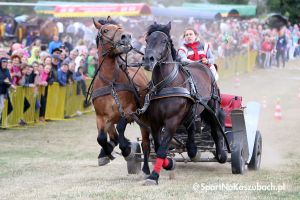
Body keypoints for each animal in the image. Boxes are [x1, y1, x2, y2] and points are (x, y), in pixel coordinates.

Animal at [91, 17, 151, 176]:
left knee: (146, 143)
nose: (126, 36)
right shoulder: (101, 116)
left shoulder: (128, 110)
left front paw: (127, 149)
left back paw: (146, 168)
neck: (110, 82)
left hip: (142, 118)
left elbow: (122, 128)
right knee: (112, 135)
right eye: (106, 30)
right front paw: (106, 153)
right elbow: (101, 138)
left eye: (119, 26)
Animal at [142, 21, 227, 184]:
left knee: (215, 128)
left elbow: (162, 148)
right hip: (193, 110)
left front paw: (154, 176)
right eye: (147, 40)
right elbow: (158, 147)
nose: (148, 60)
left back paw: (221, 154)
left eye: (164, 41)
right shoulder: (155, 122)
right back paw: (192, 149)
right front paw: (169, 163)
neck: (166, 84)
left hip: (212, 106)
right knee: (191, 126)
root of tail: (201, 65)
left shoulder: (172, 121)